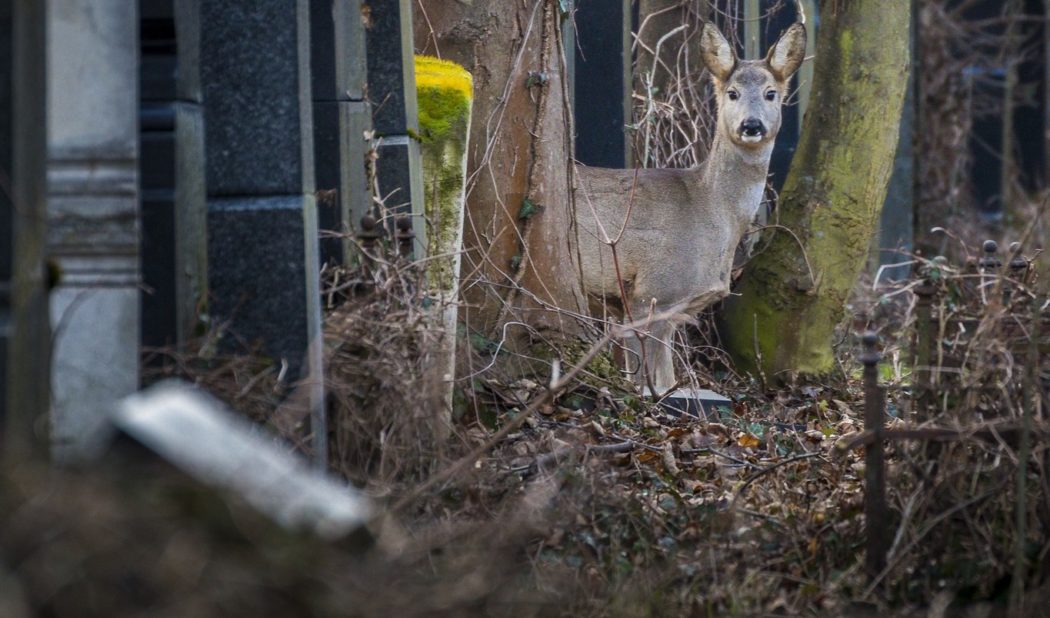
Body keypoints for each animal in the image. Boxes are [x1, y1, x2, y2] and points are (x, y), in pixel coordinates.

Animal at [575, 21, 807, 392]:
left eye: (771, 93)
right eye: (732, 93)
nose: (751, 125)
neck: (711, 209)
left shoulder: (668, 309)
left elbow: (667, 379)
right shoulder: (651, 291)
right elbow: (647, 383)